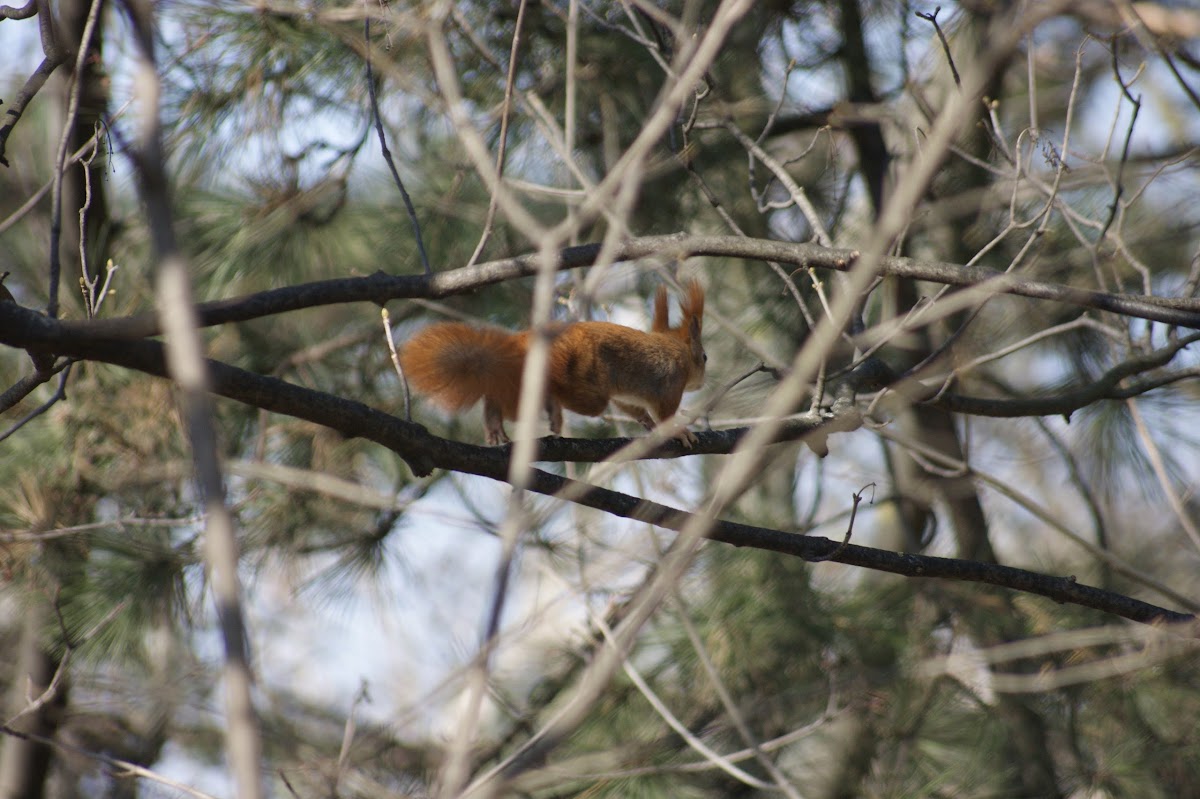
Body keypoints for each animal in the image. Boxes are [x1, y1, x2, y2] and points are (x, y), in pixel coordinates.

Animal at [398, 279, 705, 443]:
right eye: (704, 357)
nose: (701, 383)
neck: (676, 349)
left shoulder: (627, 398)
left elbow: (635, 410)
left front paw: (649, 425)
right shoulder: (670, 384)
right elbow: (666, 414)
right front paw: (680, 432)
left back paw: (493, 421)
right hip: (585, 386)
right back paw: (551, 410)